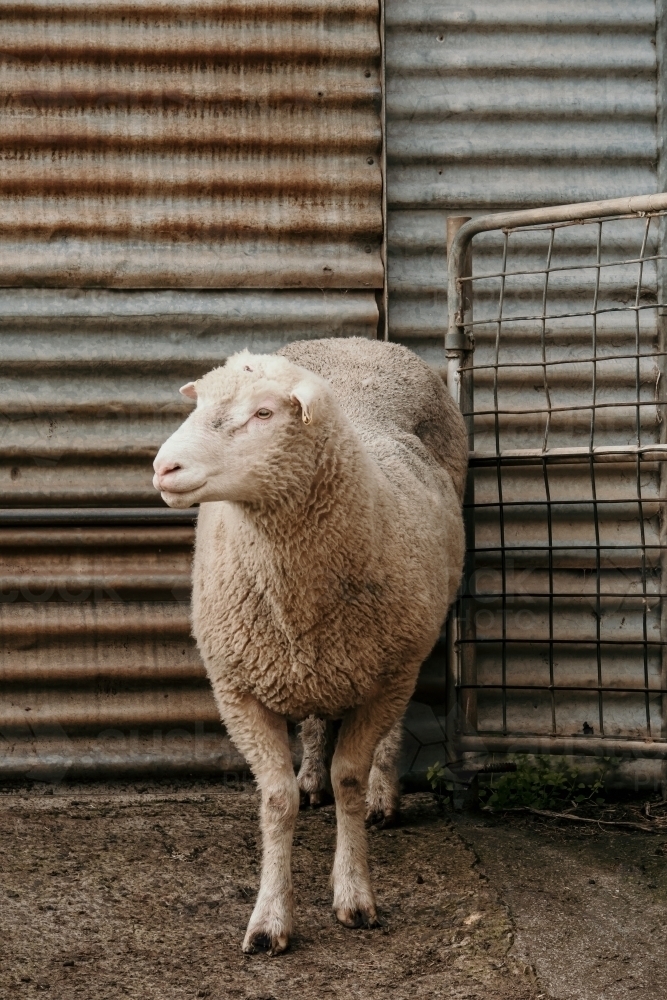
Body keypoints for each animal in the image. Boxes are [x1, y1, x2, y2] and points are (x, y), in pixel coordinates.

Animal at [152, 340, 468, 956]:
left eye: (264, 413)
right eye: (198, 404)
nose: (163, 468)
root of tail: (357, 342)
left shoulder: (386, 675)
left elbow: (351, 777)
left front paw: (354, 895)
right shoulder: (238, 690)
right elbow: (276, 801)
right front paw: (270, 918)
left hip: (402, 650)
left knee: (387, 733)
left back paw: (382, 796)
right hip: (317, 665)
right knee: (319, 720)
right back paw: (312, 780)